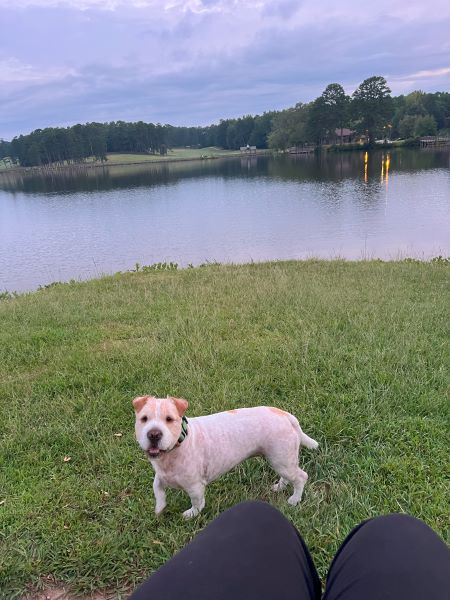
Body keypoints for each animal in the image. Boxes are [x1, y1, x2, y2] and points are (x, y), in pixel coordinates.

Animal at [132, 396, 318, 516]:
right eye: (144, 419)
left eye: (169, 419)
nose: (154, 434)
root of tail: (286, 415)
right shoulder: (161, 476)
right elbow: (157, 489)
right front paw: (160, 508)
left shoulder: (195, 486)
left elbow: (197, 503)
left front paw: (190, 514)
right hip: (281, 460)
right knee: (288, 476)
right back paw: (279, 487)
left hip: (281, 459)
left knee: (301, 477)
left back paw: (294, 499)